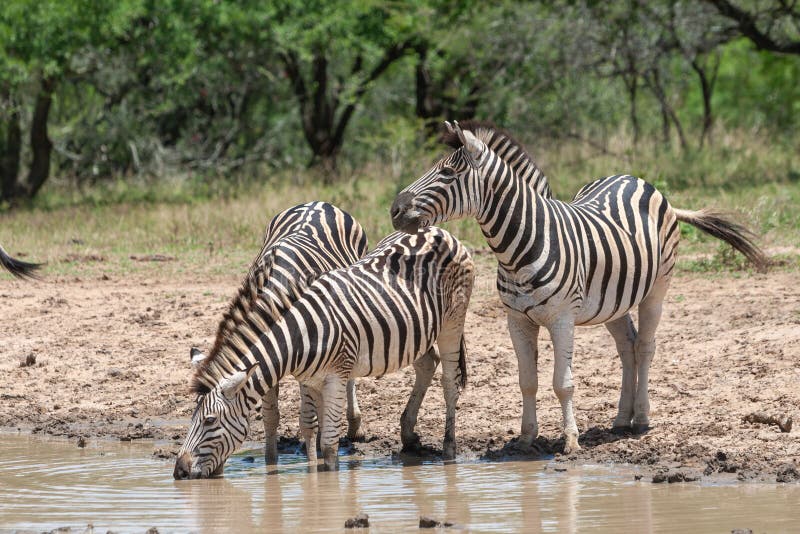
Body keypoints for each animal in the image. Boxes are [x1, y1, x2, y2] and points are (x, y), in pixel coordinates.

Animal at [173, 228, 476, 480]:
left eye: (209, 421)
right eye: (191, 420)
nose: (179, 472)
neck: (300, 337)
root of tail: (439, 230)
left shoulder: (335, 378)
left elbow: (329, 445)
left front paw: (327, 487)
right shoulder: (310, 380)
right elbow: (309, 427)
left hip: (452, 321)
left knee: (450, 382)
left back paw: (449, 449)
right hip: (417, 331)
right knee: (427, 363)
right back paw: (408, 435)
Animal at [390, 122, 764, 456]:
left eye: (447, 173)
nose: (394, 209)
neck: (518, 249)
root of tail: (635, 179)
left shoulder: (562, 318)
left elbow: (562, 383)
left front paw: (570, 441)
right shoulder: (517, 320)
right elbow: (528, 381)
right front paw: (526, 439)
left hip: (657, 288)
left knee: (645, 346)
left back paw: (641, 419)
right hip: (614, 300)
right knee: (627, 347)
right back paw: (621, 418)